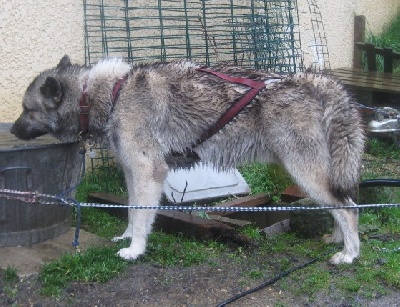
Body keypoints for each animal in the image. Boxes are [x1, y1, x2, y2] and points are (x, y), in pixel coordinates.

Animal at [10, 55, 366, 264]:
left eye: (28, 110)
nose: (11, 130)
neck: (111, 94)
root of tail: (313, 81)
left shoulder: (148, 172)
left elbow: (142, 217)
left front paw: (135, 250)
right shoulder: (131, 173)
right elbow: (131, 212)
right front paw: (126, 238)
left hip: (305, 173)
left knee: (349, 208)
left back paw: (348, 254)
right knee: (340, 206)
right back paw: (337, 241)